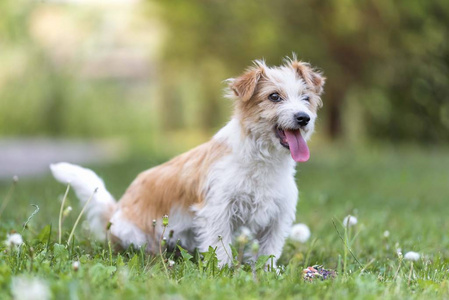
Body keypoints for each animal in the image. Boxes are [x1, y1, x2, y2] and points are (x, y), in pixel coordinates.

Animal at [50, 57, 324, 266]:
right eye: (274, 96)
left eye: (306, 98)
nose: (303, 117)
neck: (262, 157)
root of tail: (114, 214)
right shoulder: (217, 210)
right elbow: (219, 246)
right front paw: (223, 270)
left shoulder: (277, 215)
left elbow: (269, 250)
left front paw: (267, 272)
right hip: (135, 234)